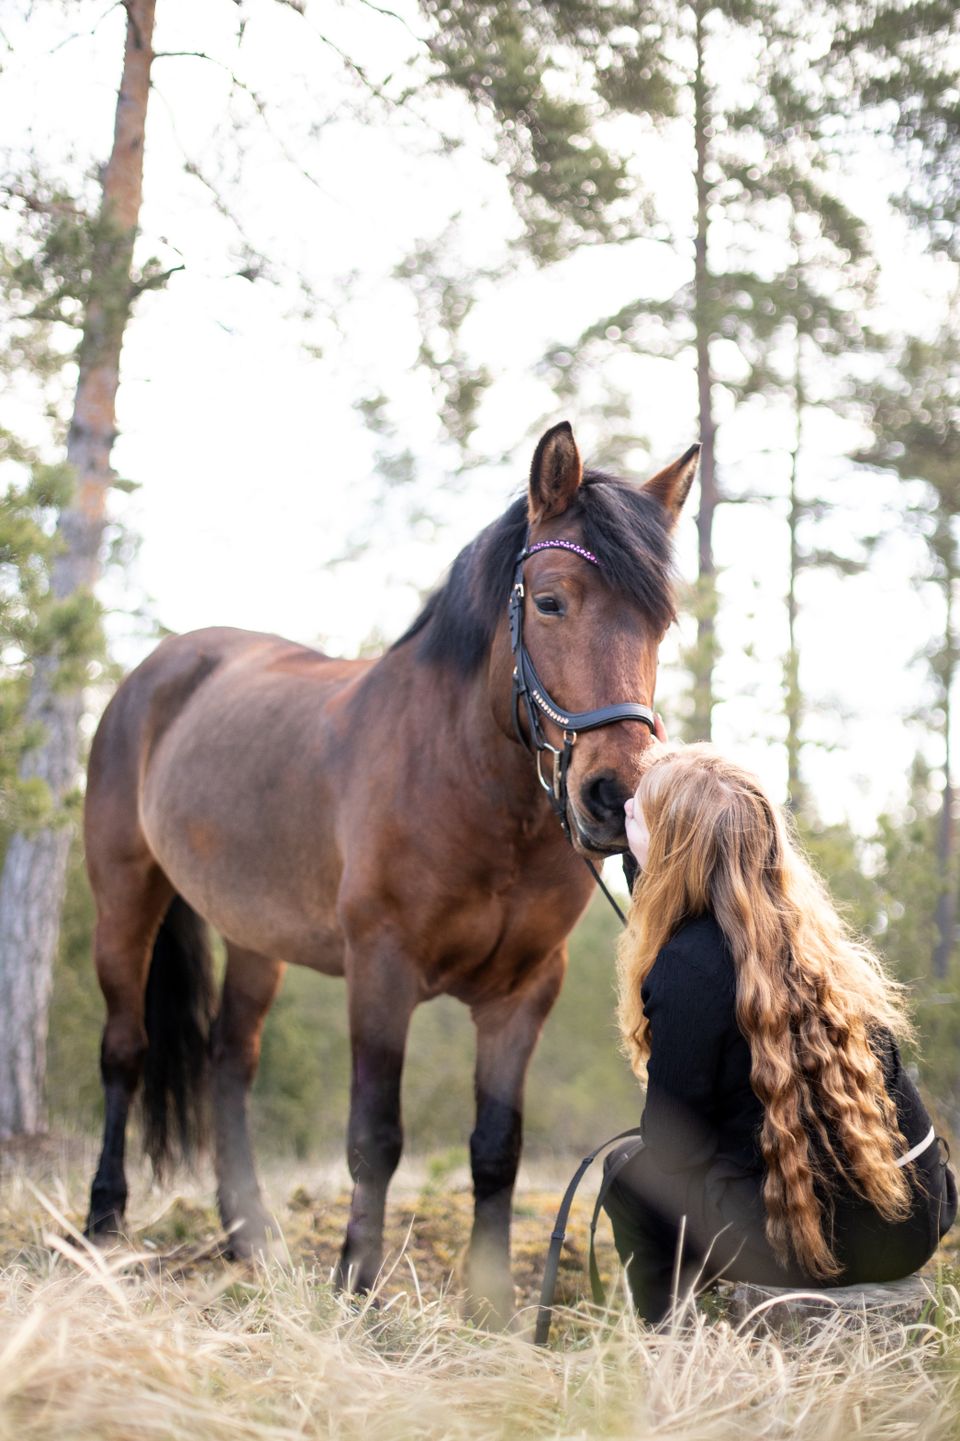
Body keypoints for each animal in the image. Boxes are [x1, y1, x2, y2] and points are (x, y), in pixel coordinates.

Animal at [83, 420, 694, 1319]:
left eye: (660, 623)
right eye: (551, 600)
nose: (614, 794)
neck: (470, 789)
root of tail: (159, 669)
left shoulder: (524, 991)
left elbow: (495, 1146)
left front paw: (491, 1306)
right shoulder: (381, 968)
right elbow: (375, 1136)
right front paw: (358, 1285)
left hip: (256, 935)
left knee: (231, 1060)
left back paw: (250, 1235)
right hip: (124, 895)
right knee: (124, 1049)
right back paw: (102, 1222)